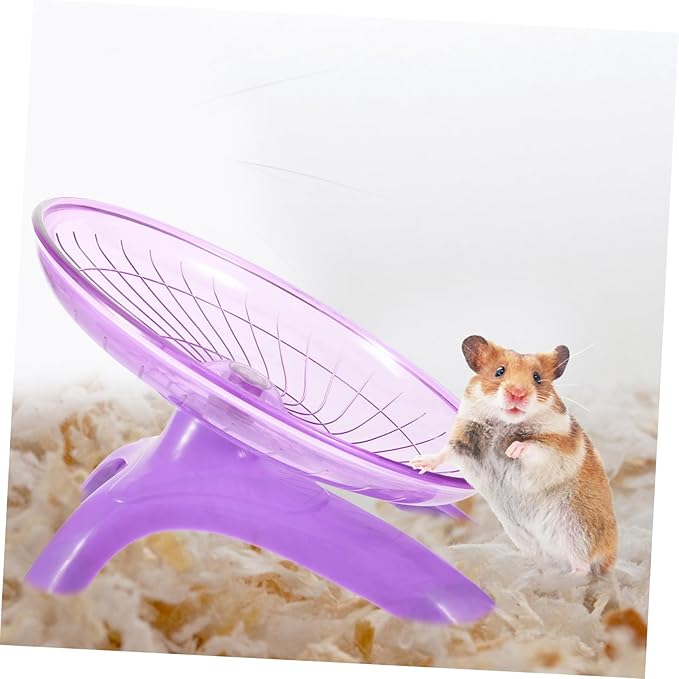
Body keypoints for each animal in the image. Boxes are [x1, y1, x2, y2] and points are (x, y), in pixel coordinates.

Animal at [408, 335, 617, 576]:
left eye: (537, 378)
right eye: (499, 371)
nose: (517, 393)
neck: (504, 422)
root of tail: (611, 558)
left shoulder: (556, 446)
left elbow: (533, 446)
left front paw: (511, 450)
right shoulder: (464, 439)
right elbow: (446, 452)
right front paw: (417, 463)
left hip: (577, 530)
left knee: (583, 565)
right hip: (526, 538)